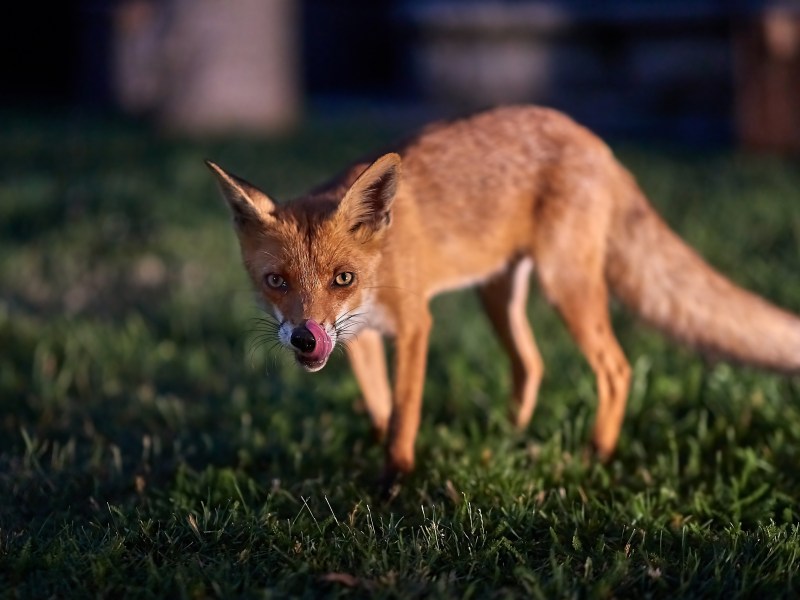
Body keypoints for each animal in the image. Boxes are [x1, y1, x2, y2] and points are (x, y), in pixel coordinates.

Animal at [206, 105, 800, 486]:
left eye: (342, 279)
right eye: (276, 281)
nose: (305, 340)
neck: (381, 267)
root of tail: (592, 139)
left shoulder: (414, 326)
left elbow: (404, 410)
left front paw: (395, 480)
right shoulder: (360, 337)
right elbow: (379, 406)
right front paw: (379, 455)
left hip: (566, 286)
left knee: (616, 368)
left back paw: (597, 456)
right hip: (498, 295)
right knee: (530, 364)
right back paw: (509, 438)